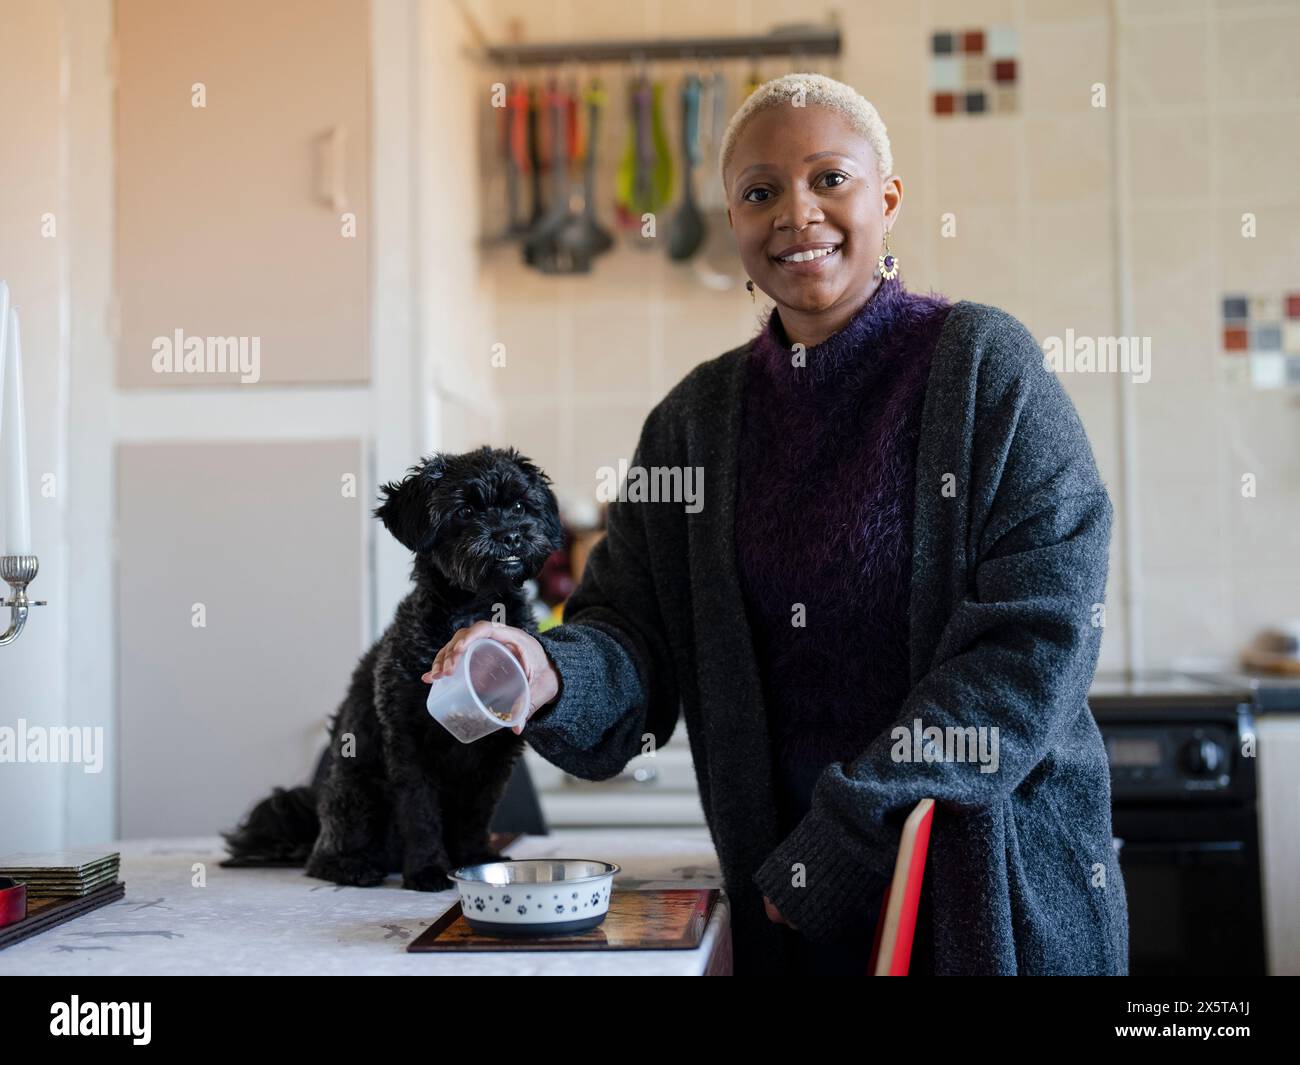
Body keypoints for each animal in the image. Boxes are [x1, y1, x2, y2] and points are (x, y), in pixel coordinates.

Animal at [222, 447, 564, 889]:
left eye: (521, 506)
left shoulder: (495, 754)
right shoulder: (407, 740)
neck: (473, 607)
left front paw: (475, 861)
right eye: (465, 511)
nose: (510, 535)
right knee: (324, 857)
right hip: (356, 791)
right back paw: (354, 867)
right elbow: (419, 812)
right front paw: (428, 870)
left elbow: (476, 815)